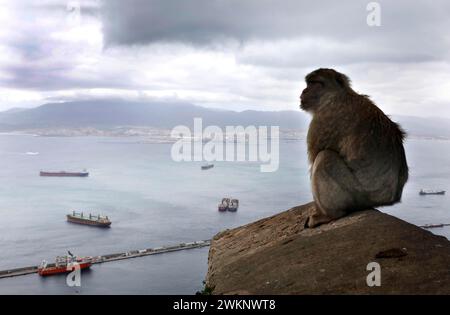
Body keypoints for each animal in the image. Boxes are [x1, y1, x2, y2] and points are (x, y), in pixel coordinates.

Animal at [298, 69, 408, 228]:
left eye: (314, 83)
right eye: (308, 83)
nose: (304, 91)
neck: (338, 94)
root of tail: (389, 198)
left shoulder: (323, 117)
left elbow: (315, 158)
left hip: (358, 194)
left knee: (324, 157)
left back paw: (329, 215)